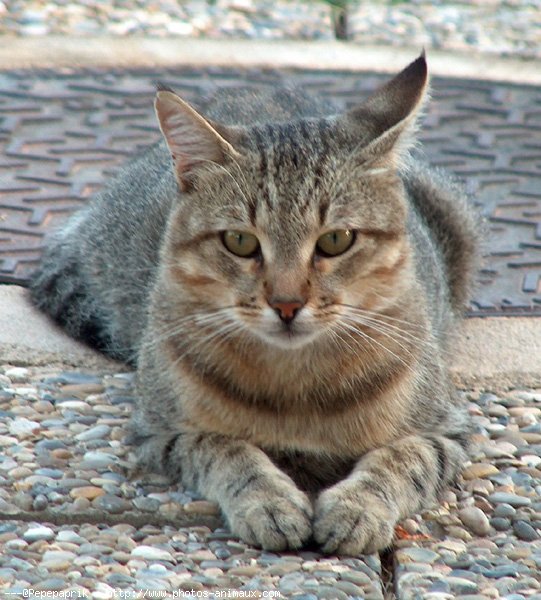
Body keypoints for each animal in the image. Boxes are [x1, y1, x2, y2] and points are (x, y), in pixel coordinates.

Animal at [29, 54, 476, 556]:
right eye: (240, 241)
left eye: (337, 240)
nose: (287, 303)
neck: (296, 385)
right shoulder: (162, 431)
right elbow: (227, 452)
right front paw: (269, 502)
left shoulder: (446, 431)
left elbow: (400, 460)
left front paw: (358, 507)